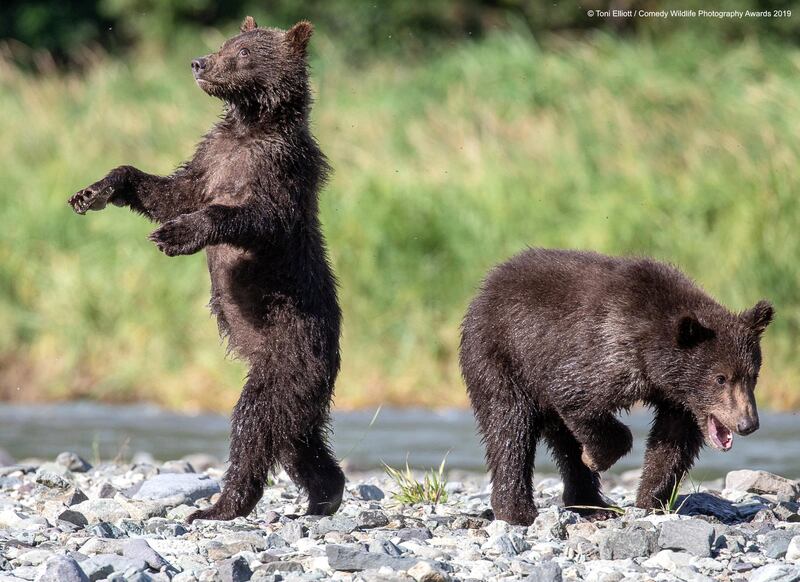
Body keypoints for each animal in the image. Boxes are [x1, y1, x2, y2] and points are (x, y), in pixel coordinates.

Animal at [68, 17, 344, 524]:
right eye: (225, 42)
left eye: (243, 52)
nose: (198, 62)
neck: (251, 125)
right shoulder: (211, 158)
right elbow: (169, 192)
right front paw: (94, 191)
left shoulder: (277, 168)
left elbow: (254, 217)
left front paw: (175, 236)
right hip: (296, 382)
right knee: (297, 437)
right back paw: (326, 493)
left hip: (287, 354)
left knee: (257, 422)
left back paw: (220, 506)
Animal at [460, 249, 772, 528]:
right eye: (720, 378)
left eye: (753, 375)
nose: (748, 423)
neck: (653, 358)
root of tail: (487, 284)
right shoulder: (606, 349)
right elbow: (576, 396)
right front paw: (595, 457)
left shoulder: (676, 398)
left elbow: (672, 442)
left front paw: (650, 499)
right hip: (503, 356)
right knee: (510, 428)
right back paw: (518, 511)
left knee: (562, 439)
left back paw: (592, 506)